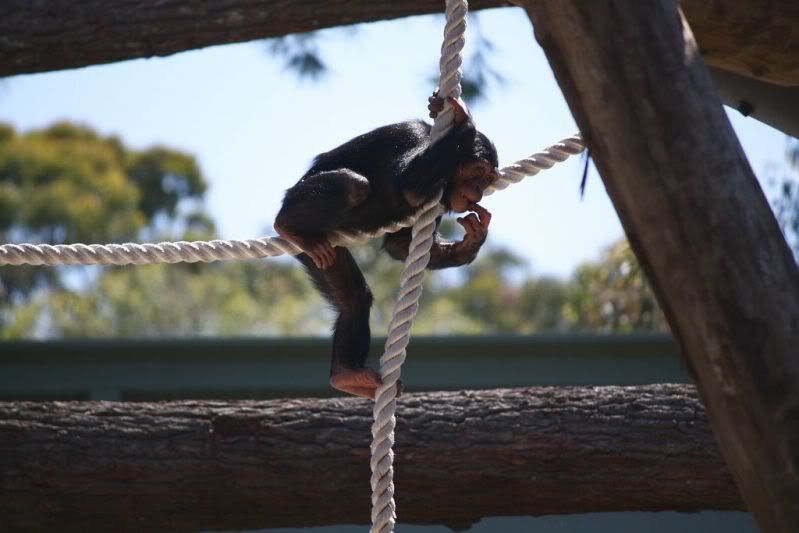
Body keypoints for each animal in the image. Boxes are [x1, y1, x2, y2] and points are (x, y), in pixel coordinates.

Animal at [276, 93, 500, 396]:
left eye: (487, 180)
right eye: (477, 172)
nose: (478, 190)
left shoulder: (438, 204)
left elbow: (400, 244)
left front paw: (472, 242)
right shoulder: (414, 141)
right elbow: (410, 185)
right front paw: (464, 120)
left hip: (321, 250)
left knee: (354, 298)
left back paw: (346, 375)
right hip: (299, 202)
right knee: (353, 186)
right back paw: (286, 225)